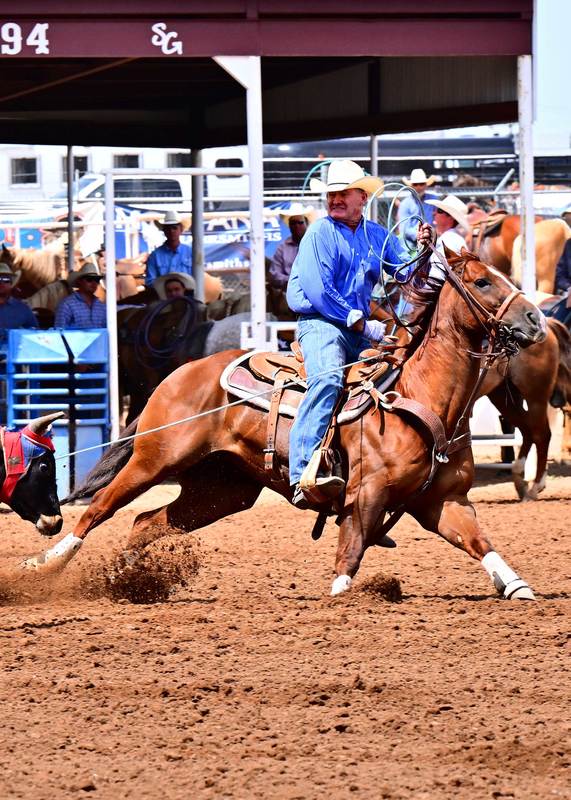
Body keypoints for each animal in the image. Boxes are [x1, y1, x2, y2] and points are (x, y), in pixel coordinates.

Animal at [25, 249, 546, 602]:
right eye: (481, 281)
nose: (536, 319)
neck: (420, 396)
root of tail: (178, 373)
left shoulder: (443, 501)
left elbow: (479, 542)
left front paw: (517, 586)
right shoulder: (365, 497)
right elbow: (350, 552)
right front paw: (340, 597)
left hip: (220, 490)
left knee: (145, 522)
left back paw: (125, 580)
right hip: (156, 459)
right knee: (100, 510)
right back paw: (45, 562)